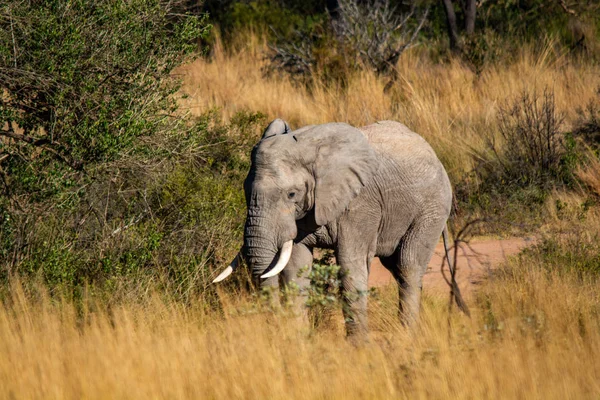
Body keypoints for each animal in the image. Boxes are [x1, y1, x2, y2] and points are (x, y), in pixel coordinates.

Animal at [213, 118, 458, 338]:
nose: (275, 330)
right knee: (396, 268)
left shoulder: (360, 204)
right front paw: (299, 340)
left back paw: (407, 336)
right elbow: (296, 266)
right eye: (246, 191)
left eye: (291, 194)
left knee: (408, 266)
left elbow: (350, 264)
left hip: (432, 209)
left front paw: (359, 347)